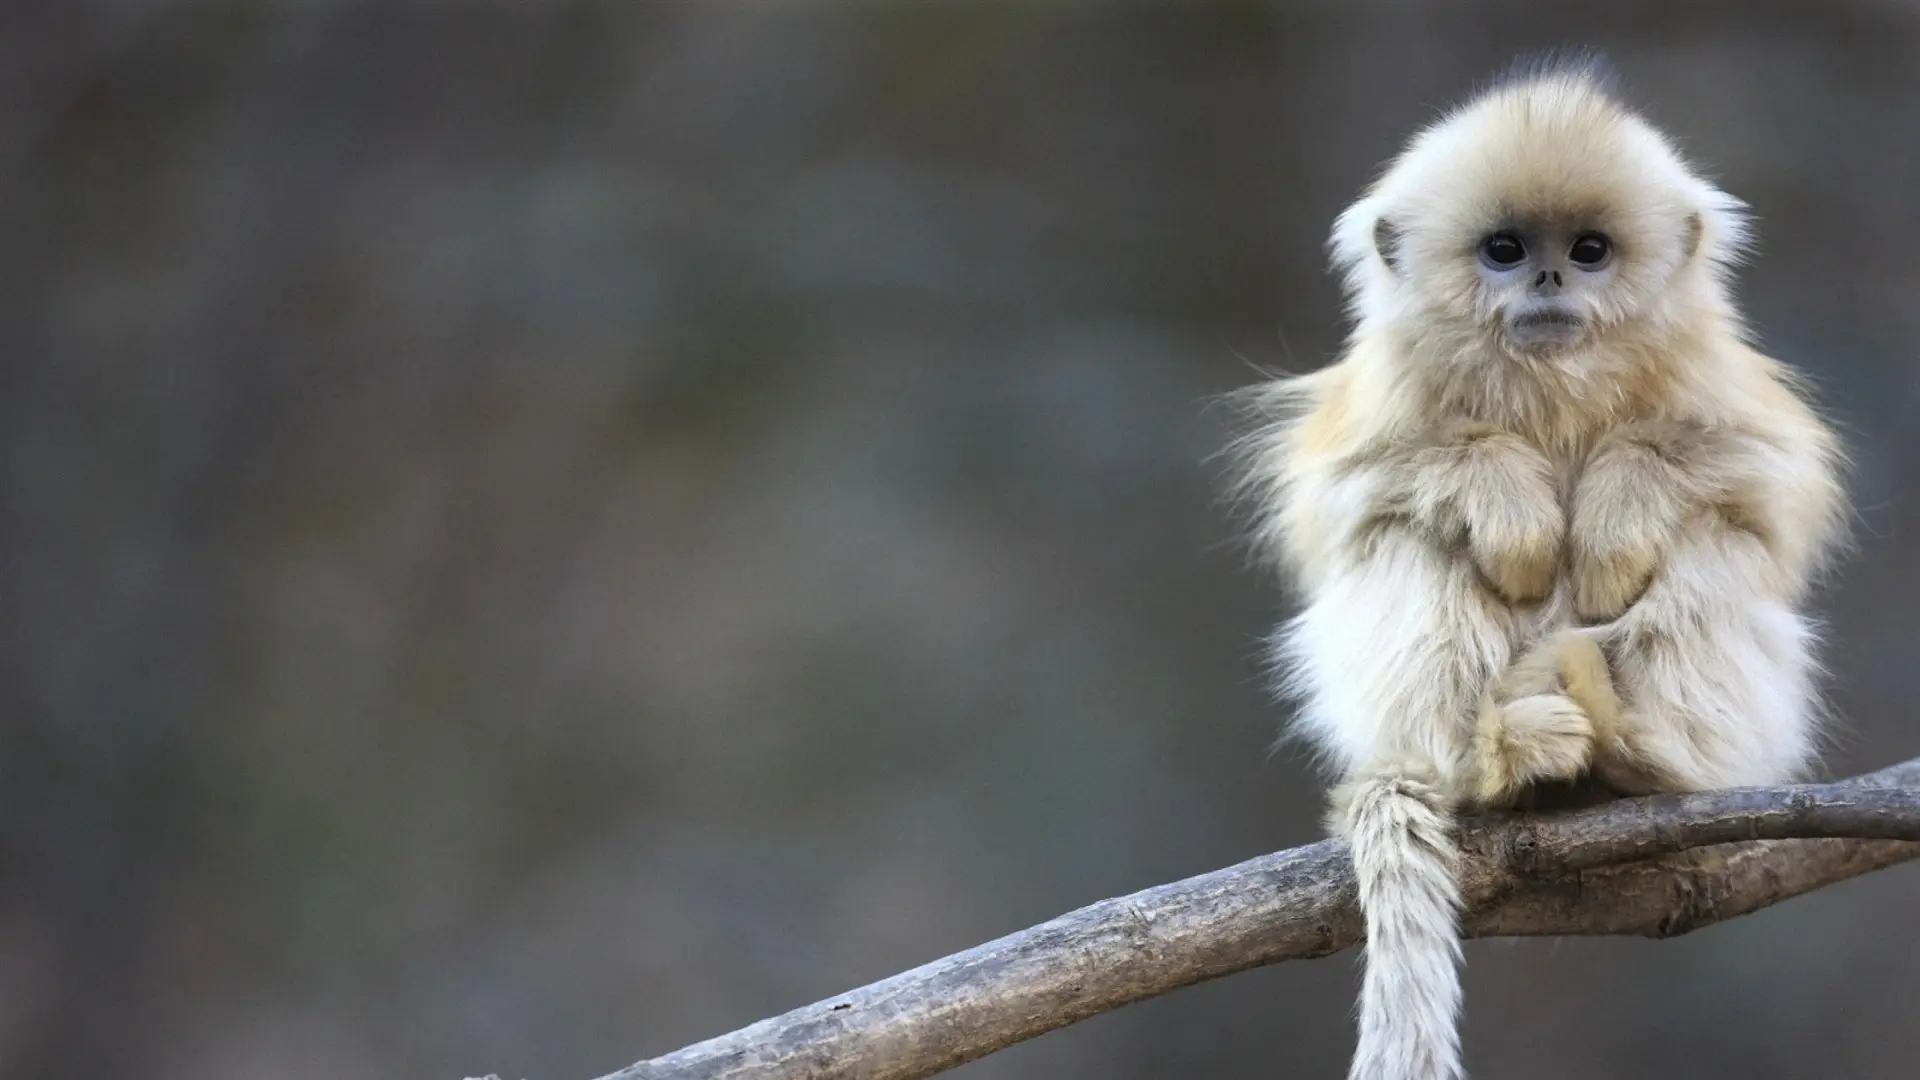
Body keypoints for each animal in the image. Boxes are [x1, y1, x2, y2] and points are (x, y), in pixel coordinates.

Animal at [1228, 52, 1843, 1076]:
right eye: (1506, 249)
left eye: (1589, 250)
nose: (1551, 274)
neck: (1553, 388)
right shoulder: (1379, 404)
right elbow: (1352, 496)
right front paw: (1512, 511)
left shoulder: (1722, 389)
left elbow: (1763, 484)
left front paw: (1611, 521)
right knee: (1408, 539)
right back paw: (1496, 761)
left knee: (1713, 542)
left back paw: (1642, 754)